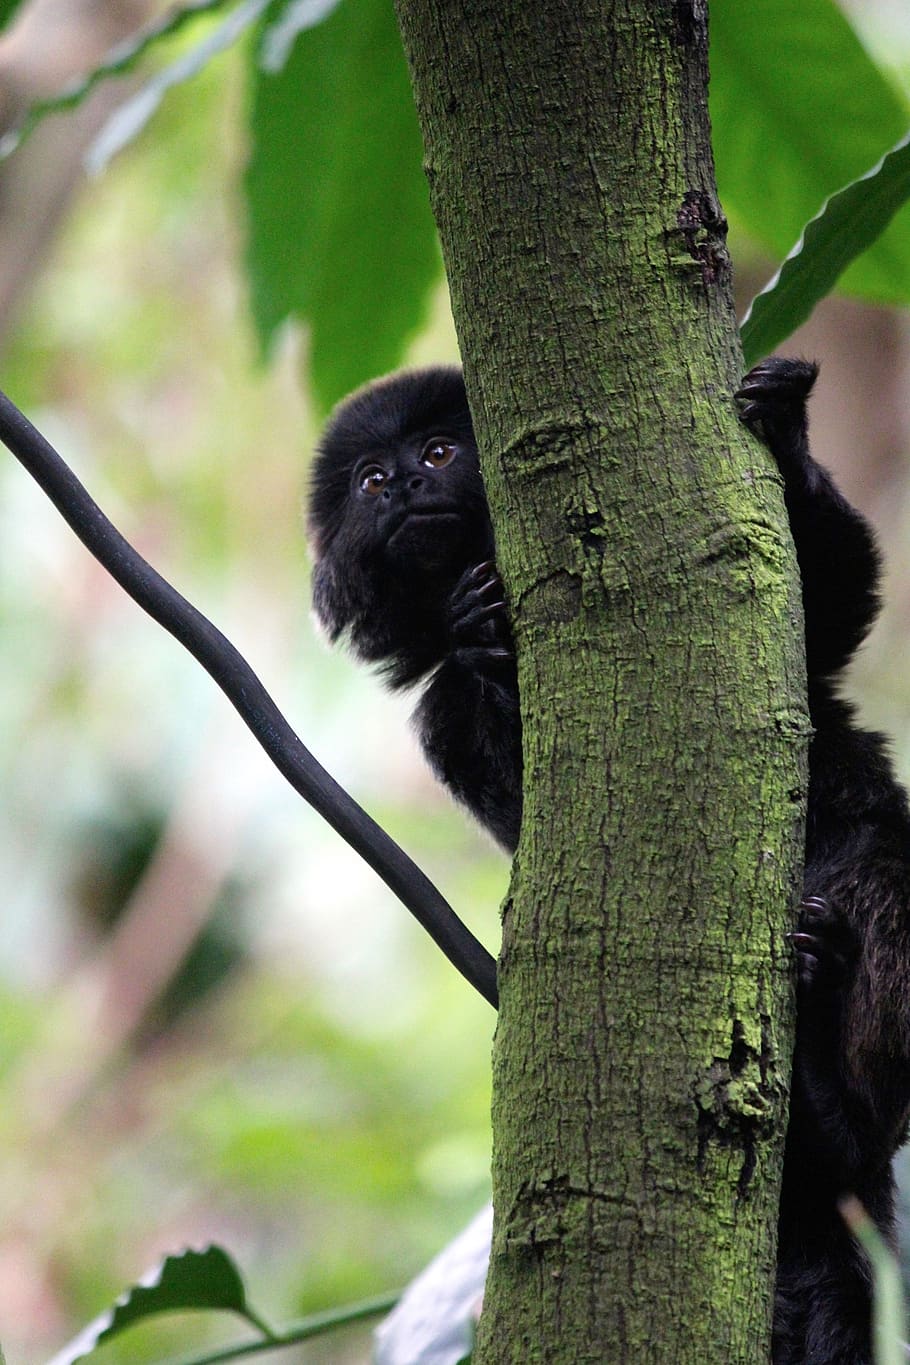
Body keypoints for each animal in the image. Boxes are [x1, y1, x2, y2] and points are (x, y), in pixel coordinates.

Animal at [308, 357, 910, 1364]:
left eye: (439, 452)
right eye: (370, 481)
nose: (405, 490)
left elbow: (829, 605)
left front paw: (784, 429)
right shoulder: (439, 720)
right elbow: (514, 788)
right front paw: (477, 640)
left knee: (884, 887)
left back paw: (839, 1085)